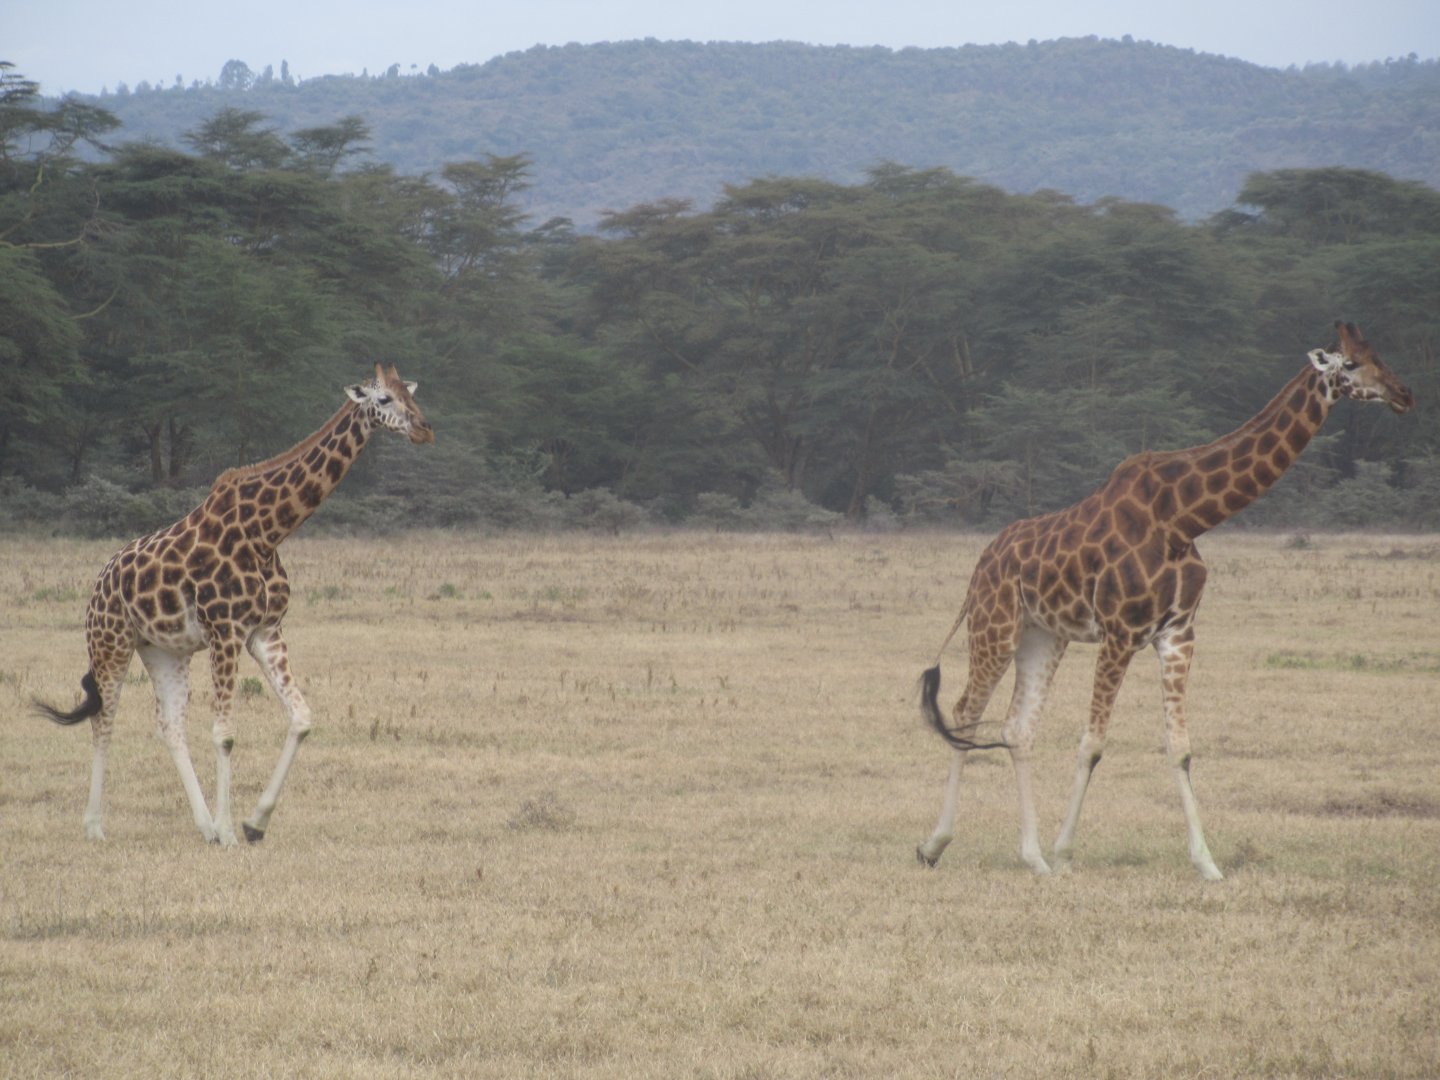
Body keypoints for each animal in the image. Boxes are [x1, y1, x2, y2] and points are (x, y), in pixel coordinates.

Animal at [35, 364, 434, 845]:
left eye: (409, 394)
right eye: (384, 400)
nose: (424, 428)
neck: (267, 532)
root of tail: (100, 581)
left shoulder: (266, 631)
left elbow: (301, 717)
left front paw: (253, 823)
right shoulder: (225, 631)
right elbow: (225, 733)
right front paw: (229, 831)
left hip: (164, 649)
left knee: (170, 725)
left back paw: (203, 824)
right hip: (110, 641)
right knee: (104, 718)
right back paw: (96, 826)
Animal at [915, 322, 1413, 880]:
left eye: (1379, 355)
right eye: (1349, 364)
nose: (1404, 394)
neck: (1184, 518)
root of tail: (982, 561)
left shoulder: (1177, 634)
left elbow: (1180, 748)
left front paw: (1207, 864)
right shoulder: (1119, 633)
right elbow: (1093, 743)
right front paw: (1066, 854)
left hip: (1043, 636)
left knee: (1018, 727)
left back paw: (1033, 857)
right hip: (994, 625)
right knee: (964, 711)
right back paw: (936, 845)